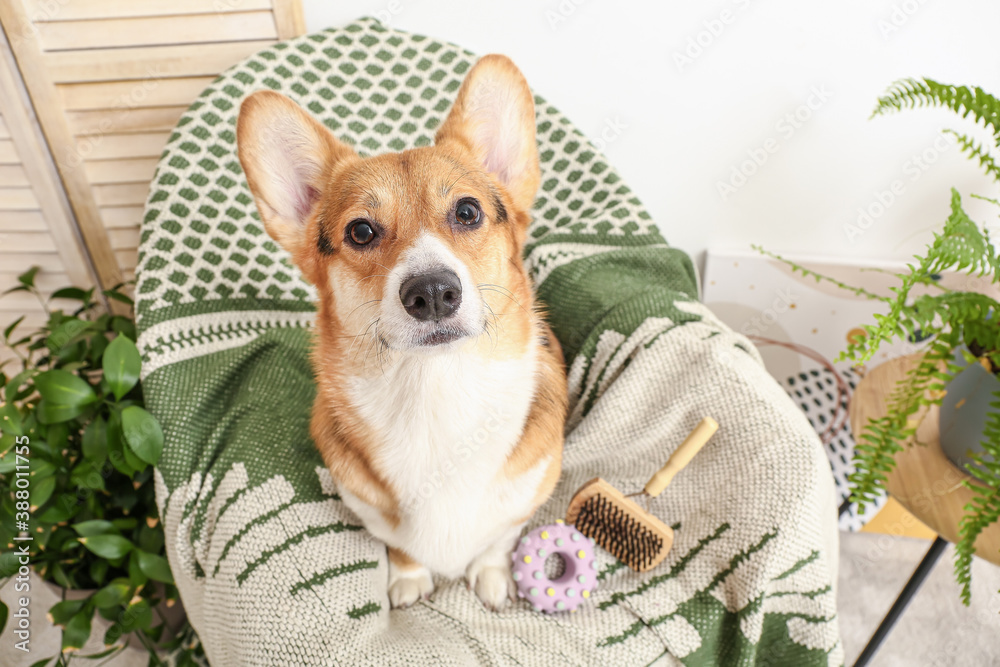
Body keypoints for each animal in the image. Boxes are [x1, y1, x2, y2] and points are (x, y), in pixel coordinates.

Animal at [238, 57, 572, 612]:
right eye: (361, 232)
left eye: (467, 212)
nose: (432, 293)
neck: (433, 390)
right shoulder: (368, 508)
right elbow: (400, 545)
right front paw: (410, 578)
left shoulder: (528, 495)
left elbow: (499, 538)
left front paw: (490, 572)